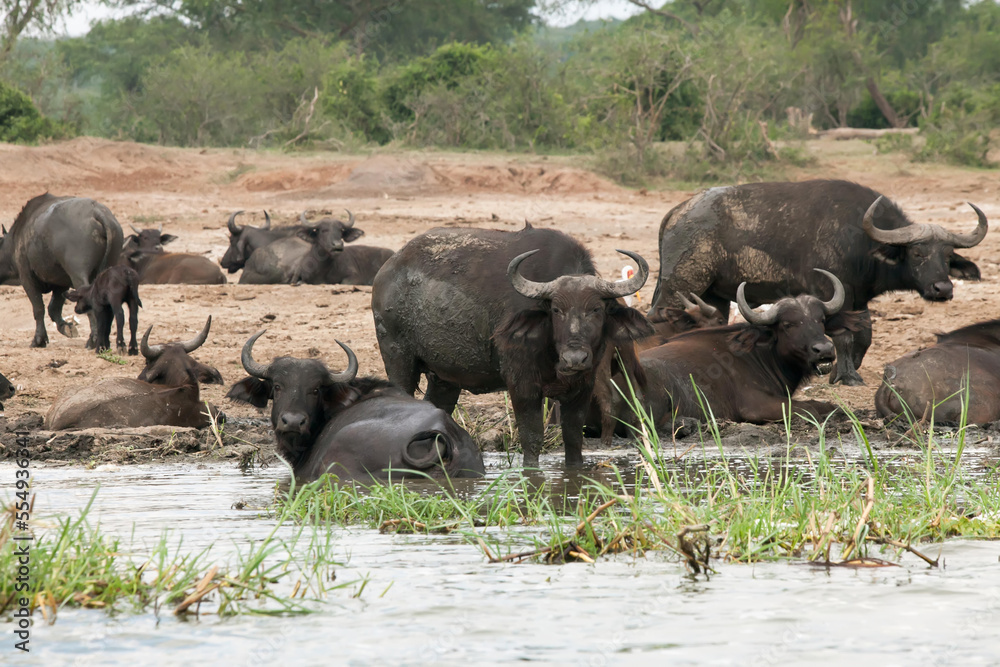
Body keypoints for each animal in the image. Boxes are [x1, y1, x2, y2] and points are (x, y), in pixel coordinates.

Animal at [0, 193, 124, 349]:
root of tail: (97, 212)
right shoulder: (61, 284)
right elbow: (53, 308)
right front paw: (67, 328)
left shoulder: (27, 278)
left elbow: (38, 308)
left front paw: (39, 340)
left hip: (78, 276)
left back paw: (93, 340)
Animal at [371, 224, 652, 467]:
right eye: (556, 310)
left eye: (596, 309)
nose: (574, 358)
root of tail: (387, 271)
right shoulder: (522, 384)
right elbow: (532, 437)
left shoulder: (583, 385)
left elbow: (574, 439)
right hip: (397, 358)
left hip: (445, 377)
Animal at [638, 270, 862, 428]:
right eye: (788, 324)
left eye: (821, 320)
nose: (823, 349)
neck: (759, 354)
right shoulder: (756, 406)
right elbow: (809, 410)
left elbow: (827, 405)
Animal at [647, 180, 988, 386]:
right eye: (917, 253)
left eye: (947, 255)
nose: (943, 289)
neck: (859, 239)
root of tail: (677, 213)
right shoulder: (833, 293)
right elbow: (844, 337)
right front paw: (845, 376)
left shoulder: (857, 300)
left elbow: (863, 336)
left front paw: (843, 370)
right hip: (679, 285)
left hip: (713, 296)